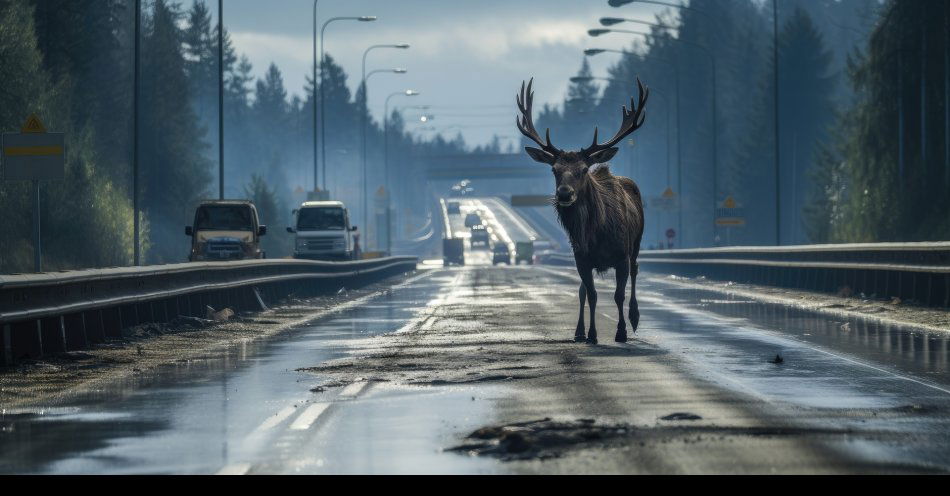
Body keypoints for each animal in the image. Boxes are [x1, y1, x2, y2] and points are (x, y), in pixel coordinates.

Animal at [516, 77, 652, 342]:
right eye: (554, 170)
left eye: (583, 170)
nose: (564, 193)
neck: (597, 234)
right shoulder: (582, 258)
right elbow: (591, 294)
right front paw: (591, 334)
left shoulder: (621, 254)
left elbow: (618, 294)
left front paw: (621, 332)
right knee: (581, 291)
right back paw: (579, 331)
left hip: (637, 242)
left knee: (635, 270)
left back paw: (635, 318)